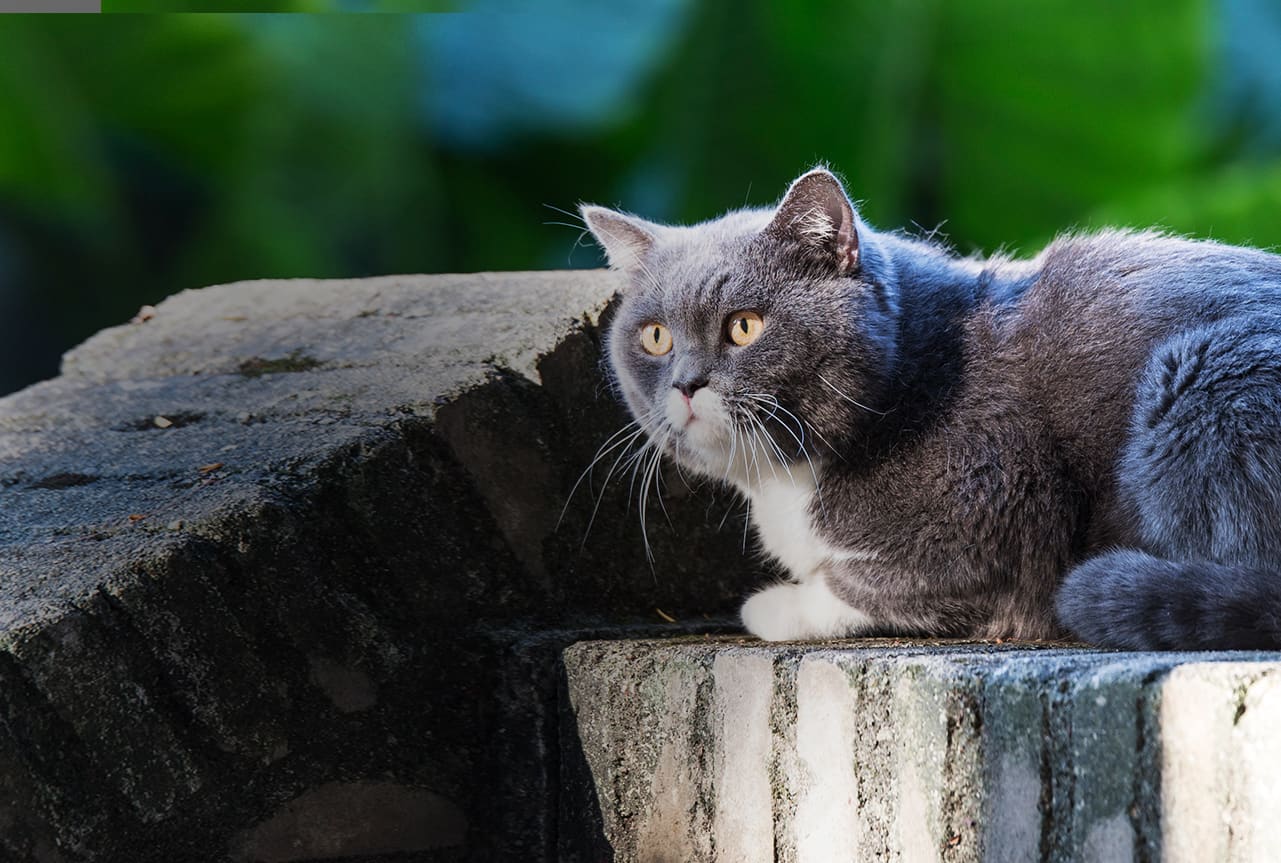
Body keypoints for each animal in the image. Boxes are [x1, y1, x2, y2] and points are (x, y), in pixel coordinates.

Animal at [584, 166, 1281, 645]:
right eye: (655, 337)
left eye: (745, 326)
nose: (686, 383)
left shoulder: (1003, 509)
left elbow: (873, 583)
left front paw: (774, 605)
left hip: (1203, 378)